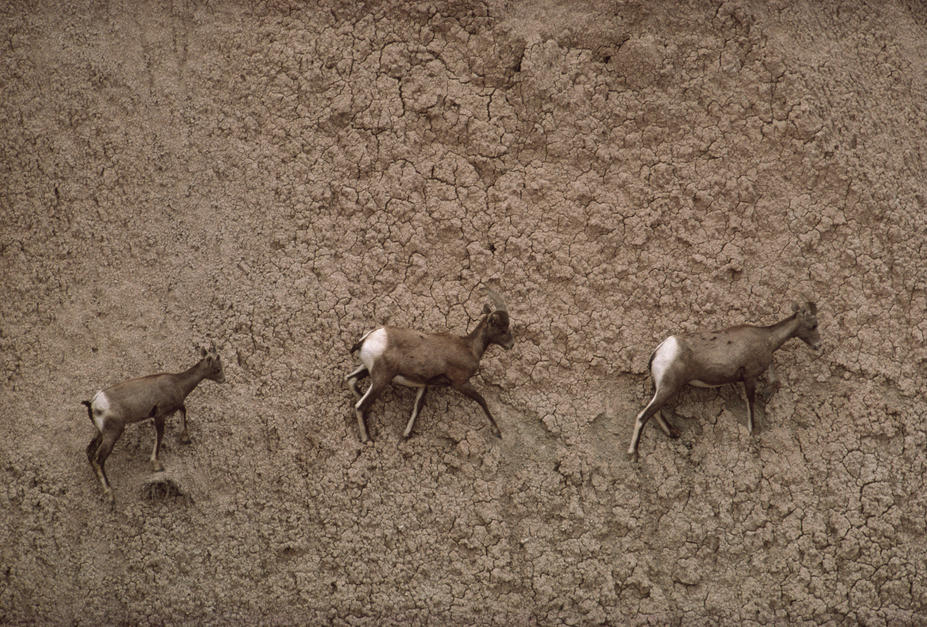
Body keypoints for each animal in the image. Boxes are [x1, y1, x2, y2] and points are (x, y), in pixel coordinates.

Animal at [81, 343, 225, 503]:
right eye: (218, 368)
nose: (223, 379)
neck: (177, 383)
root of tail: (92, 404)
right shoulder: (159, 415)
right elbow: (160, 435)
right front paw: (157, 465)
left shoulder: (175, 407)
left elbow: (183, 410)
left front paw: (185, 438)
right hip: (112, 434)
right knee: (99, 459)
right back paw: (110, 494)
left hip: (100, 433)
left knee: (90, 452)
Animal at [345, 290, 514, 442]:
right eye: (503, 329)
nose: (511, 345)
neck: (469, 347)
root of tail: (367, 339)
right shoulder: (461, 383)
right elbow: (482, 400)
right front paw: (497, 432)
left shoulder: (423, 385)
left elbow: (417, 408)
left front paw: (406, 436)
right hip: (382, 379)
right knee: (360, 405)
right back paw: (367, 439)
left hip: (368, 370)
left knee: (350, 379)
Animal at [627, 300, 821, 456]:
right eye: (813, 325)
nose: (818, 346)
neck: (767, 339)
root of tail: (658, 351)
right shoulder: (749, 377)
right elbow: (750, 403)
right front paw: (752, 432)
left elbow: (774, 380)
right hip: (669, 388)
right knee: (643, 415)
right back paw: (633, 453)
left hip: (662, 389)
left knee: (654, 411)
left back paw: (674, 433)